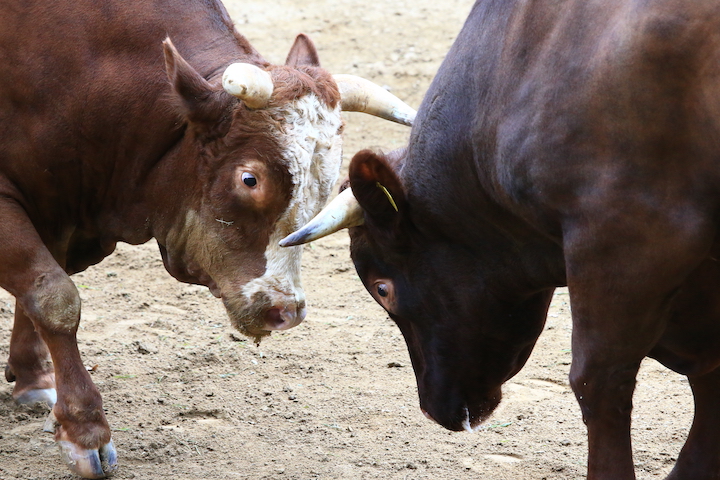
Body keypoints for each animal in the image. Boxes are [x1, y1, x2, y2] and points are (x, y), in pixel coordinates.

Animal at [0, 0, 414, 476]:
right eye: (250, 179)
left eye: (326, 186)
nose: (286, 312)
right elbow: (54, 296)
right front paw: (86, 430)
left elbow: (36, 288)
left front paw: (32, 377)